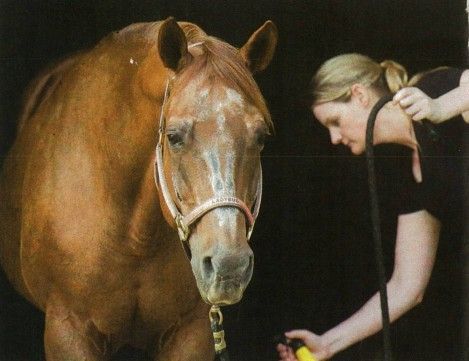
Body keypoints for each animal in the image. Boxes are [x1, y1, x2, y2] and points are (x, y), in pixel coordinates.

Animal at [0, 17, 276, 360]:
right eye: (173, 136)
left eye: (261, 137)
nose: (229, 265)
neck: (134, 237)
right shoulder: (68, 328)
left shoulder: (191, 332)